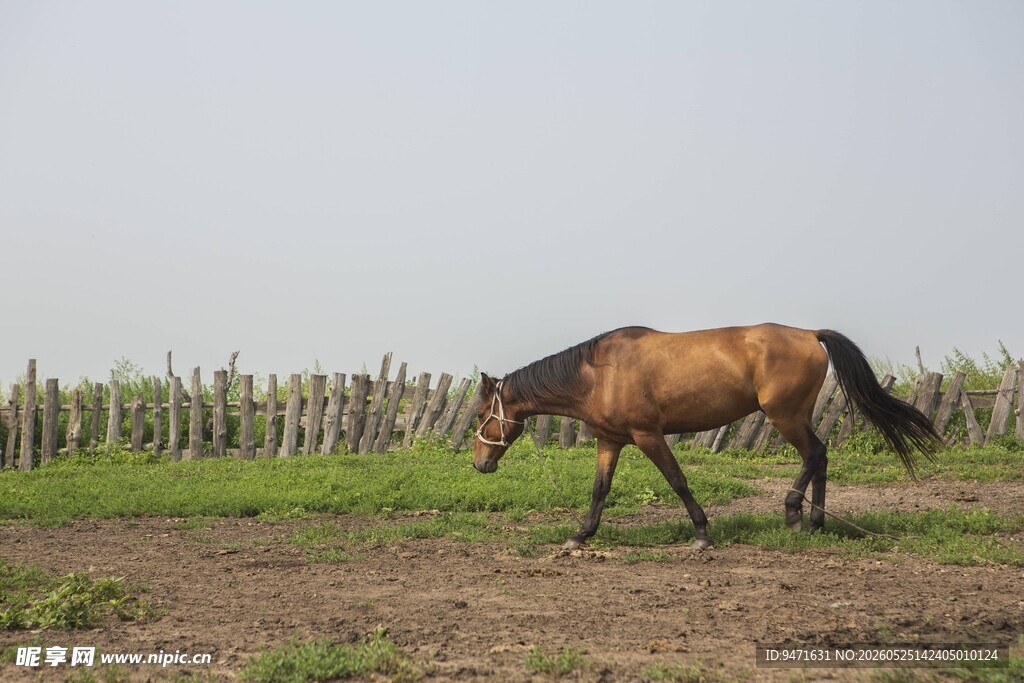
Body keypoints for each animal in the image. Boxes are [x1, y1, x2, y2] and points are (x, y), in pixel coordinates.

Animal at [472, 324, 941, 551]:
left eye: (480, 414)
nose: (480, 463)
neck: (598, 374)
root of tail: (810, 334)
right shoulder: (611, 441)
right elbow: (599, 490)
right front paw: (580, 535)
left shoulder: (648, 436)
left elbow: (678, 480)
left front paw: (701, 533)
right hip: (796, 416)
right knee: (820, 457)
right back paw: (815, 521)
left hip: (785, 416)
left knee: (814, 454)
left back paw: (794, 515)